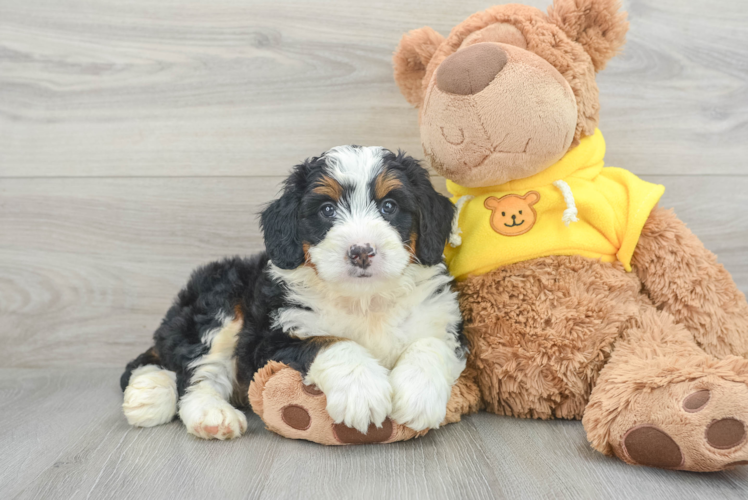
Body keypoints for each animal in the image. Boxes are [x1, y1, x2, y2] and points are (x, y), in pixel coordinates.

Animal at [119, 146, 464, 440]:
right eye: (327, 210)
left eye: (389, 206)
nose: (361, 252)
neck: (364, 300)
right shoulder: (269, 342)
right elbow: (332, 343)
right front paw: (362, 389)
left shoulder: (444, 319)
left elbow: (432, 344)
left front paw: (418, 395)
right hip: (219, 305)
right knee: (197, 376)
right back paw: (212, 414)